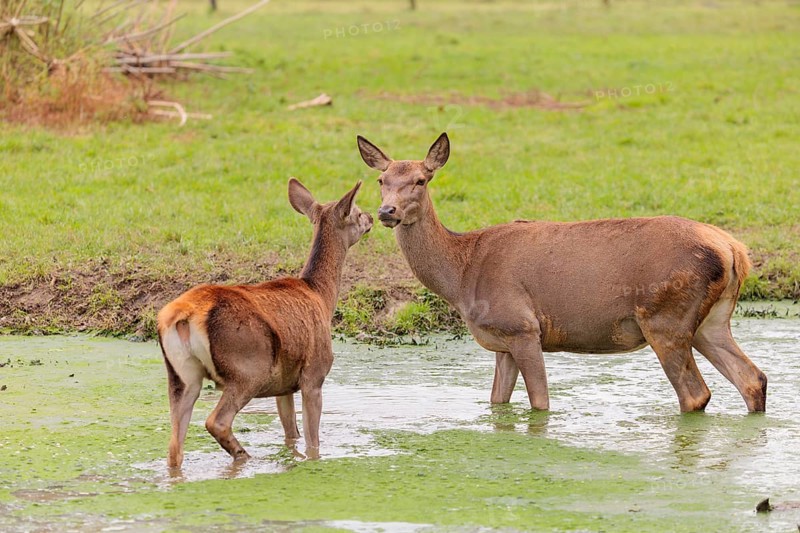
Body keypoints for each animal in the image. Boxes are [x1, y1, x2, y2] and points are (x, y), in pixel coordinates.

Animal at [157, 178, 373, 468]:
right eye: (357, 212)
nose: (372, 217)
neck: (321, 296)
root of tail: (184, 315)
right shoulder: (314, 374)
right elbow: (311, 438)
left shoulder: (285, 384)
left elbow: (291, 432)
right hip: (249, 366)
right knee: (217, 421)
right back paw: (243, 456)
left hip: (180, 375)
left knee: (174, 446)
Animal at [357, 132, 767, 414]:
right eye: (381, 181)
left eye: (421, 180)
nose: (387, 211)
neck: (462, 274)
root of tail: (734, 250)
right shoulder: (503, 340)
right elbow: (496, 402)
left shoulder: (523, 326)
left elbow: (540, 403)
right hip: (711, 321)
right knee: (753, 378)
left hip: (665, 317)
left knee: (696, 394)